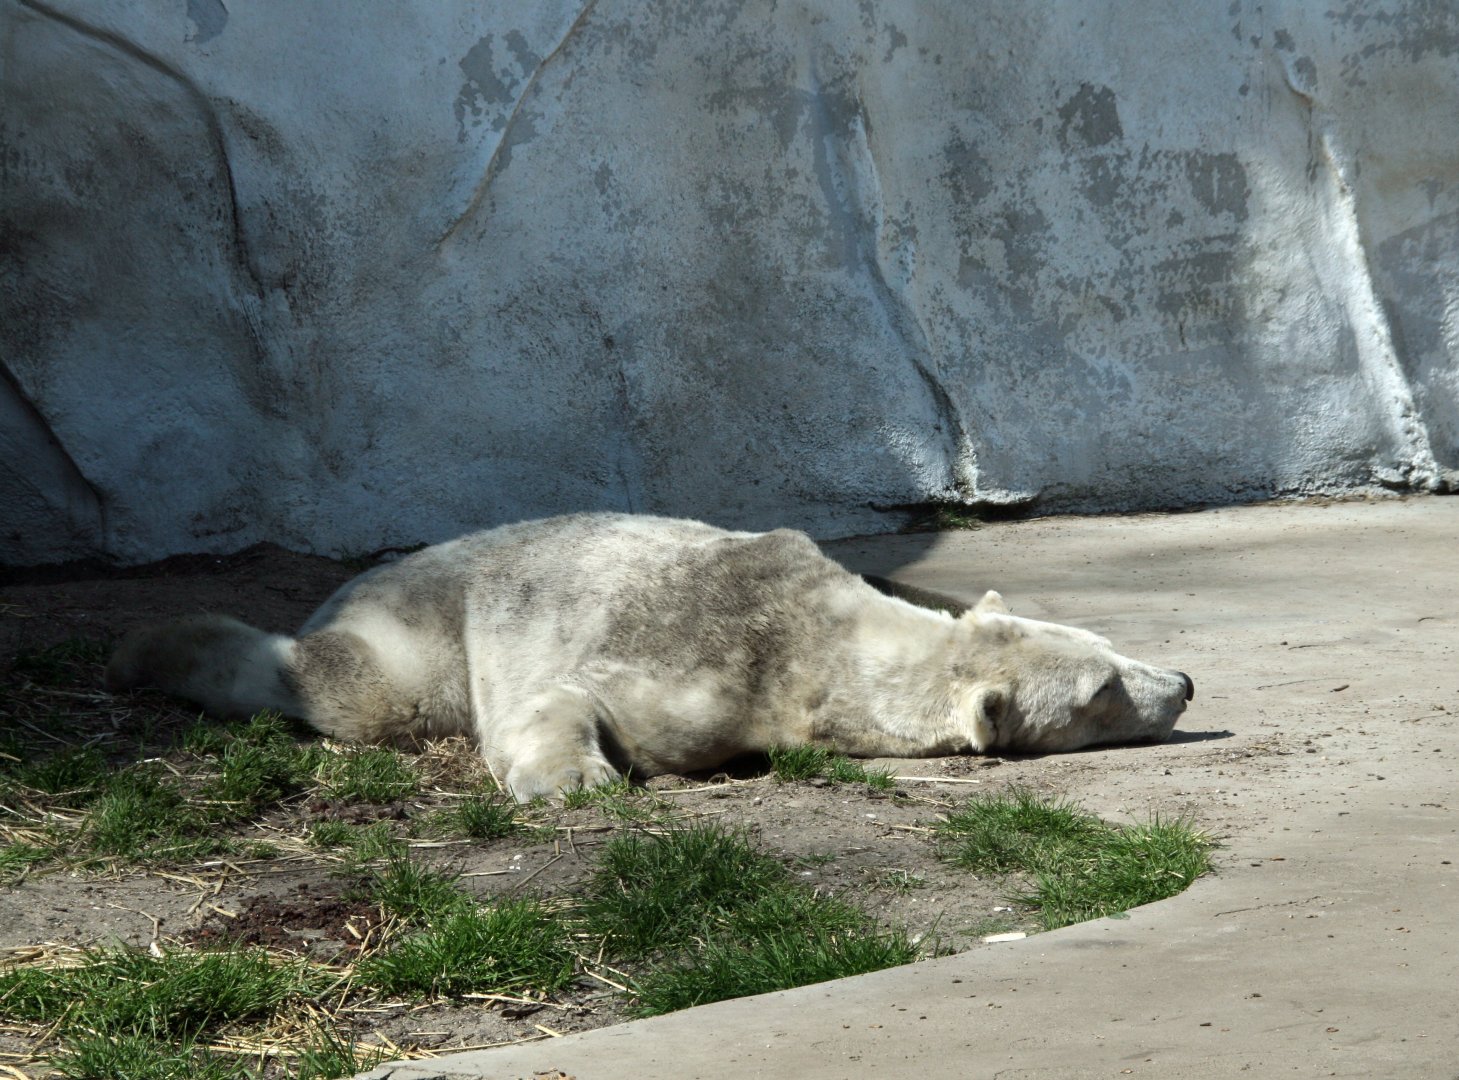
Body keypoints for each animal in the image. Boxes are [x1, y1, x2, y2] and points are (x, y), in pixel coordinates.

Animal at [106, 513, 1194, 801]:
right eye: (1103, 689)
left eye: (1111, 648)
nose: (1183, 684)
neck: (824, 637)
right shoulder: (717, 667)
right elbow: (568, 697)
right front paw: (575, 779)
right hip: (424, 628)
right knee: (354, 689)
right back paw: (161, 646)